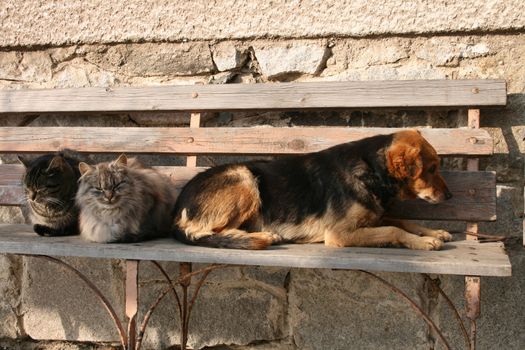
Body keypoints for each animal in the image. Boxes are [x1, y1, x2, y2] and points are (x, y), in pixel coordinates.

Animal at [172, 131, 450, 249]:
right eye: (432, 169)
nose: (450, 196)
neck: (372, 169)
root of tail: (177, 209)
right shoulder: (339, 233)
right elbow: (393, 229)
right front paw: (424, 242)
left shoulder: (373, 219)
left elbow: (404, 221)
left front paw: (433, 231)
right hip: (245, 178)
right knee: (206, 232)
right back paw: (263, 236)